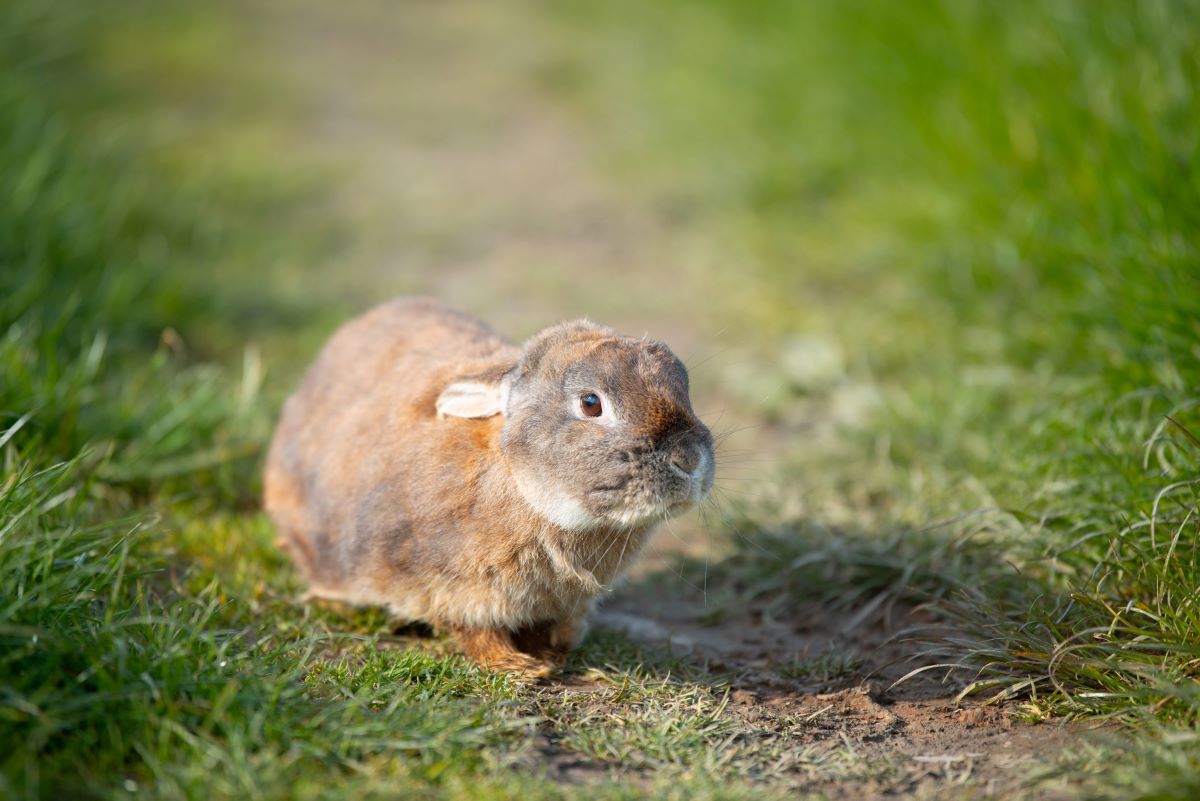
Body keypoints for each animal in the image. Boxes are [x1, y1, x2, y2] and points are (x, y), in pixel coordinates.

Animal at [264, 298, 710, 676]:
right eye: (590, 403)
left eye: (685, 389)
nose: (689, 458)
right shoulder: (450, 589)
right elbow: (475, 632)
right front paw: (520, 668)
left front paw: (548, 656)